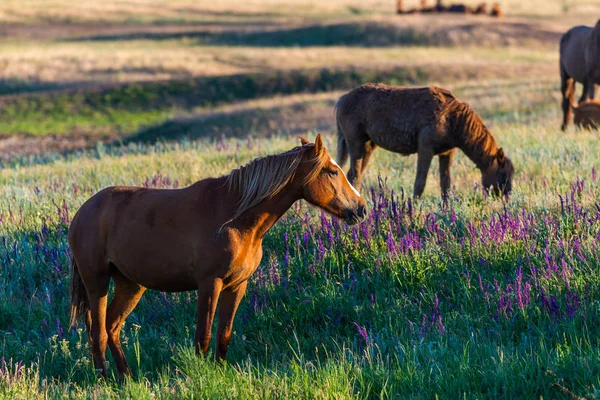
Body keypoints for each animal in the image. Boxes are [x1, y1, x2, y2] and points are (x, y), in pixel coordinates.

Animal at [67, 136, 366, 376]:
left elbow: (224, 334)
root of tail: (82, 212)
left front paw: (220, 371)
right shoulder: (210, 284)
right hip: (97, 283)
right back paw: (104, 379)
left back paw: (126, 377)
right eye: (331, 171)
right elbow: (204, 336)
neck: (236, 218)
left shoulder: (237, 285)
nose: (361, 208)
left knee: (112, 327)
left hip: (131, 285)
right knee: (98, 332)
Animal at [336, 83, 512, 198]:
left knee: (353, 175)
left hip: (368, 146)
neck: (452, 119)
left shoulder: (447, 153)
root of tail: (342, 99)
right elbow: (420, 183)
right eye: (503, 174)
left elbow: (445, 185)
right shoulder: (425, 150)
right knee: (354, 176)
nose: (506, 196)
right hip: (355, 143)